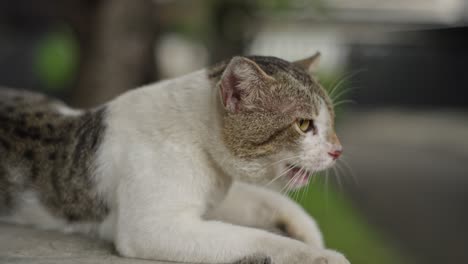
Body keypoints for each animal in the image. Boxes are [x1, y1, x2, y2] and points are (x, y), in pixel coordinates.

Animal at [0, 52, 348, 262]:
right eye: (304, 125)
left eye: (331, 120)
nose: (337, 150)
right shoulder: (152, 227)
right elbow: (255, 238)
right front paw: (321, 256)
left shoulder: (216, 195)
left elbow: (264, 198)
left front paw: (308, 231)